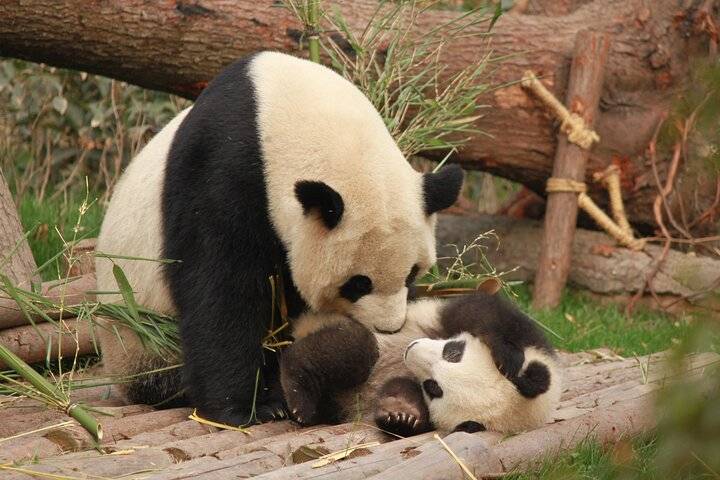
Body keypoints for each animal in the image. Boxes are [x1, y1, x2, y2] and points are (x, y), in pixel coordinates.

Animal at [94, 51, 464, 425]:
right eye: (358, 283)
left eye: (412, 274)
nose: (388, 328)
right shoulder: (221, 170)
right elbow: (221, 290)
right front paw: (242, 408)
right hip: (141, 337)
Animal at [280, 291, 561, 435]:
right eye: (453, 352)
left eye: (433, 387)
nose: (410, 350)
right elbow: (482, 311)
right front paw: (506, 355)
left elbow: (403, 391)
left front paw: (401, 415)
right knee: (354, 349)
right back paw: (298, 396)